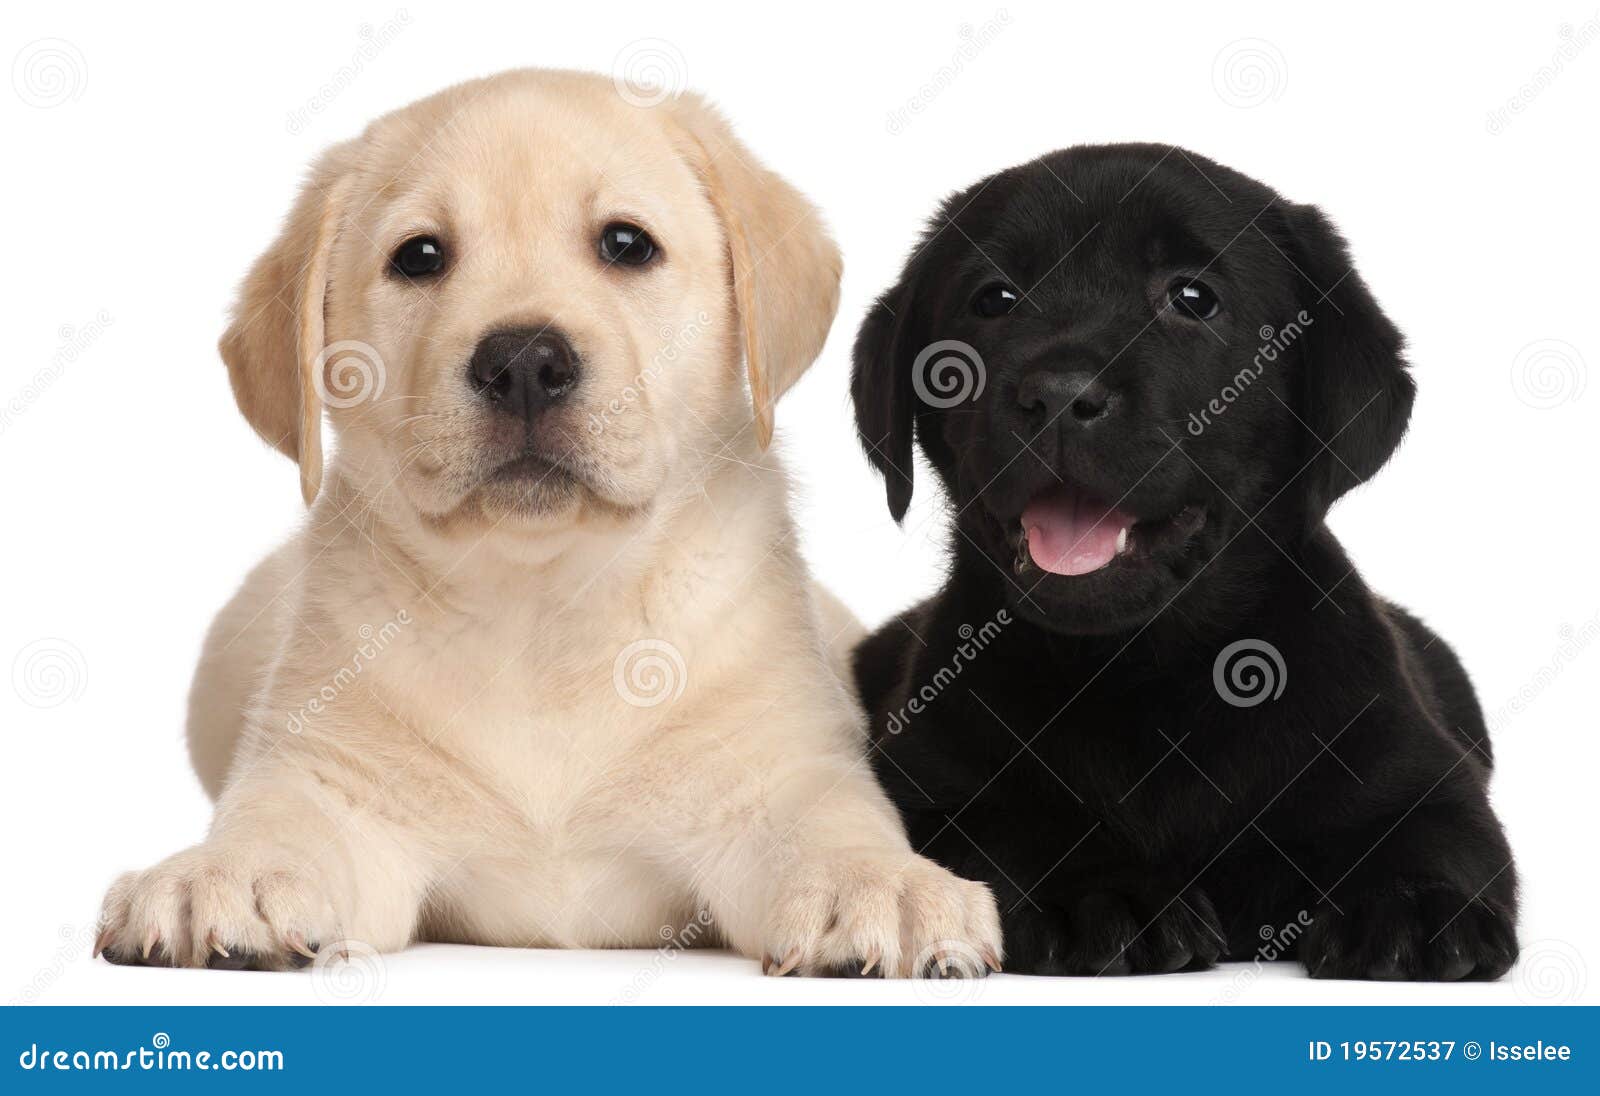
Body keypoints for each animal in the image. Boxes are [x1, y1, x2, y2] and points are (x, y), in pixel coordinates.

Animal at [93, 68, 998, 972]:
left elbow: (835, 819)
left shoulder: (778, 769)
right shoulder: (333, 780)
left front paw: (883, 884)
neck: (543, 608)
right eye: (419, 256)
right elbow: (280, 818)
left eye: (627, 244)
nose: (525, 361)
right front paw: (221, 873)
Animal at [851, 143, 1510, 972]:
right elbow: (1008, 825)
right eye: (994, 298)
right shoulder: (927, 780)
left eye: (1193, 298)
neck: (1144, 669)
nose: (1059, 395)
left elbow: (1428, 831)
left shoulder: (1420, 769)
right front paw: (1097, 891)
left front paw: (1414, 905)